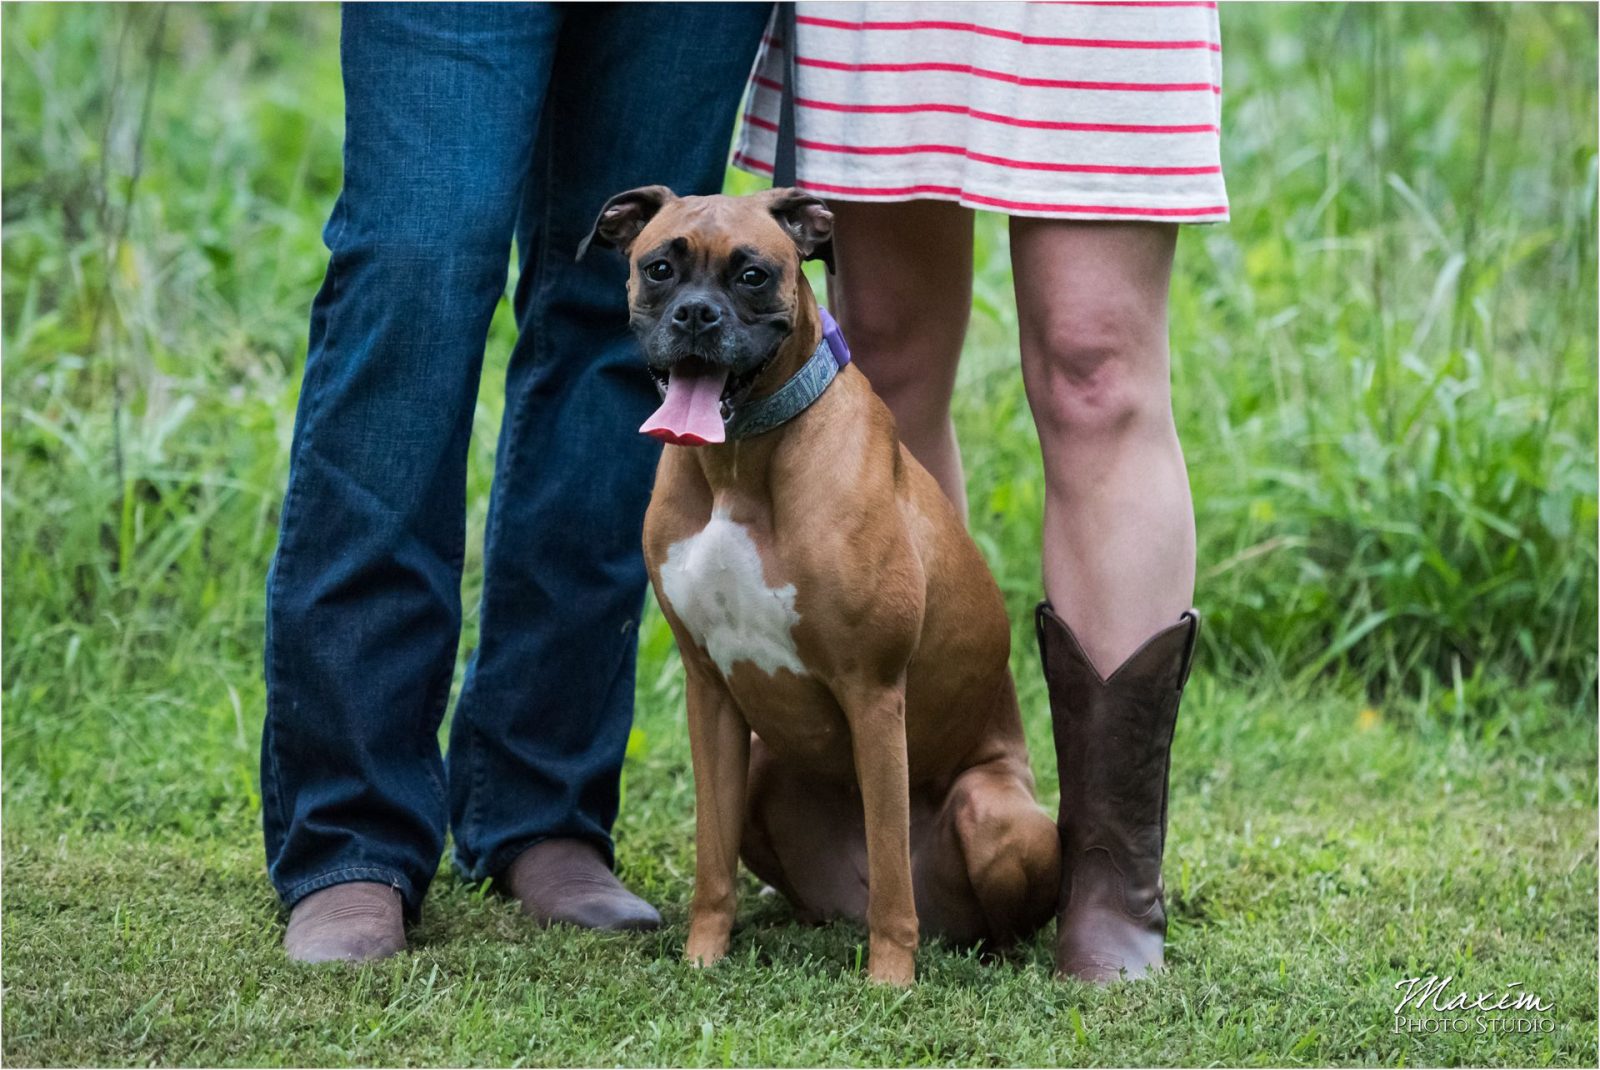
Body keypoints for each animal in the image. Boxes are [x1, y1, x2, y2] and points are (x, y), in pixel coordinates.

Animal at [582, 185, 1056, 985]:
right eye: (659, 268)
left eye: (752, 275)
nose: (696, 315)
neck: (738, 464)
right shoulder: (709, 691)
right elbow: (711, 864)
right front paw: (704, 957)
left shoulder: (874, 692)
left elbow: (893, 876)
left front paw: (889, 982)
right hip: (761, 774)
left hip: (993, 816)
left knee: (958, 902)